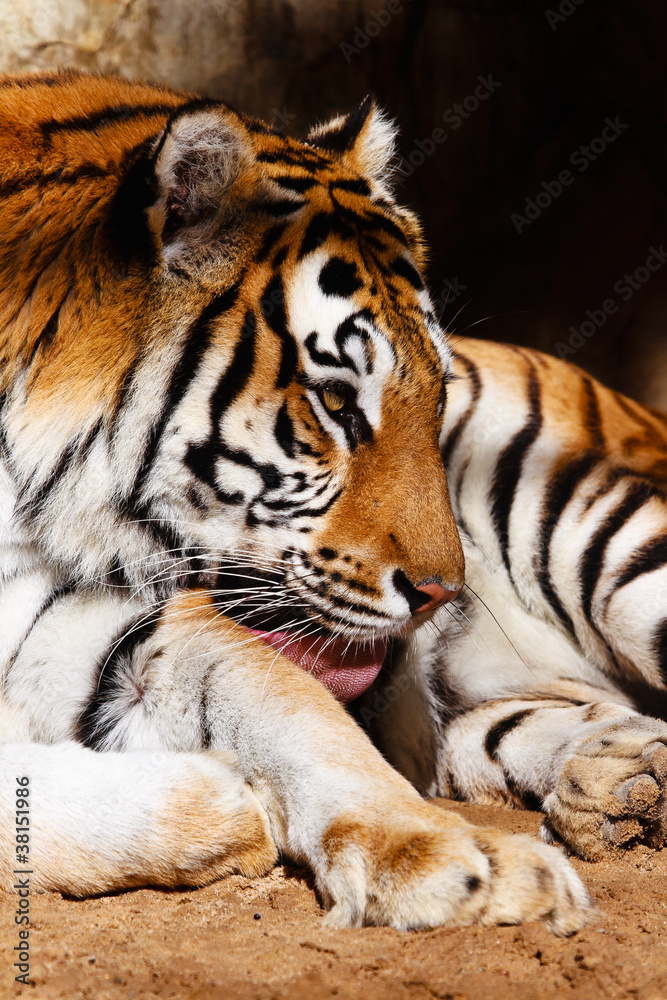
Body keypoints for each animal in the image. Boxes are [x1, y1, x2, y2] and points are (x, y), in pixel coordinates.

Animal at [0, 69, 663, 936]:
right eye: (337, 402)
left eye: (436, 391)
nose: (443, 593)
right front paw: (220, 806)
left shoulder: (124, 627)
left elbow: (304, 721)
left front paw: (471, 865)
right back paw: (616, 781)